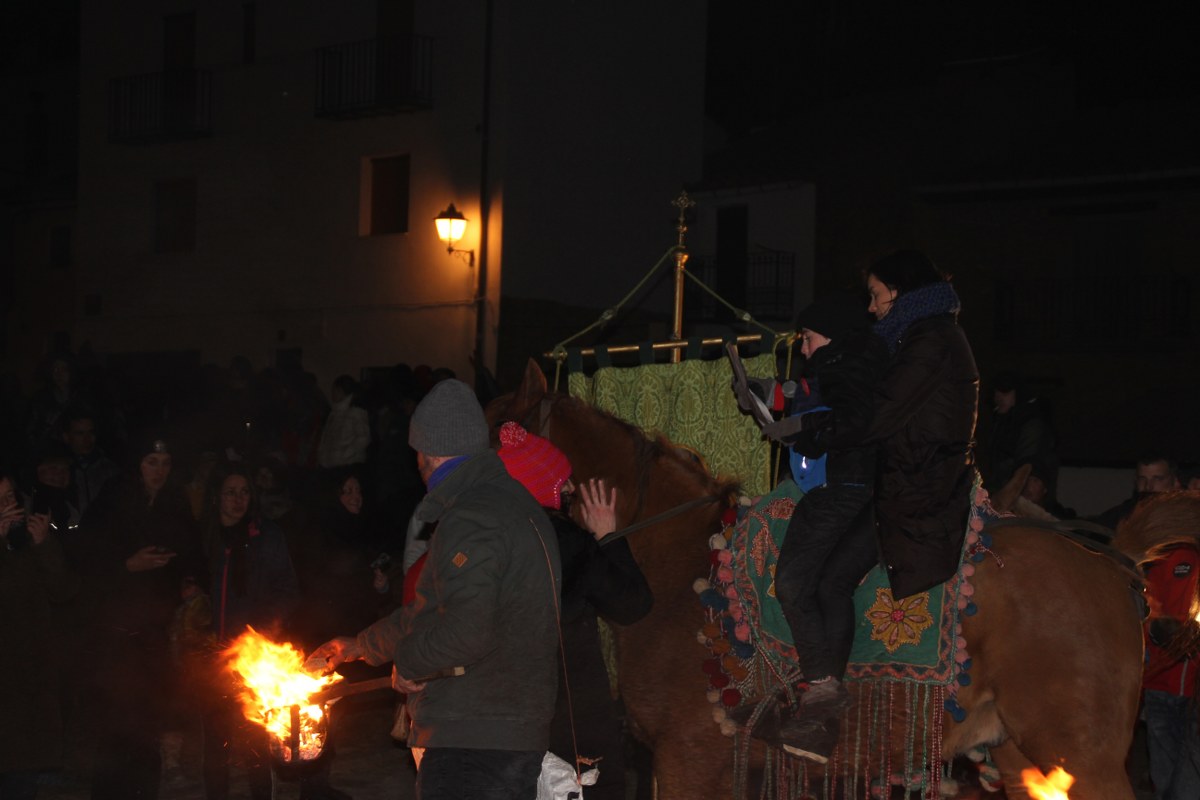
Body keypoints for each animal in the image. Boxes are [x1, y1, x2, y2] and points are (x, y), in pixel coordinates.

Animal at [488, 359, 1194, 799]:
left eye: (493, 435)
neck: (678, 564)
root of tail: (1113, 561)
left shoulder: (689, 761)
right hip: (1030, 763)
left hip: (1084, 761)